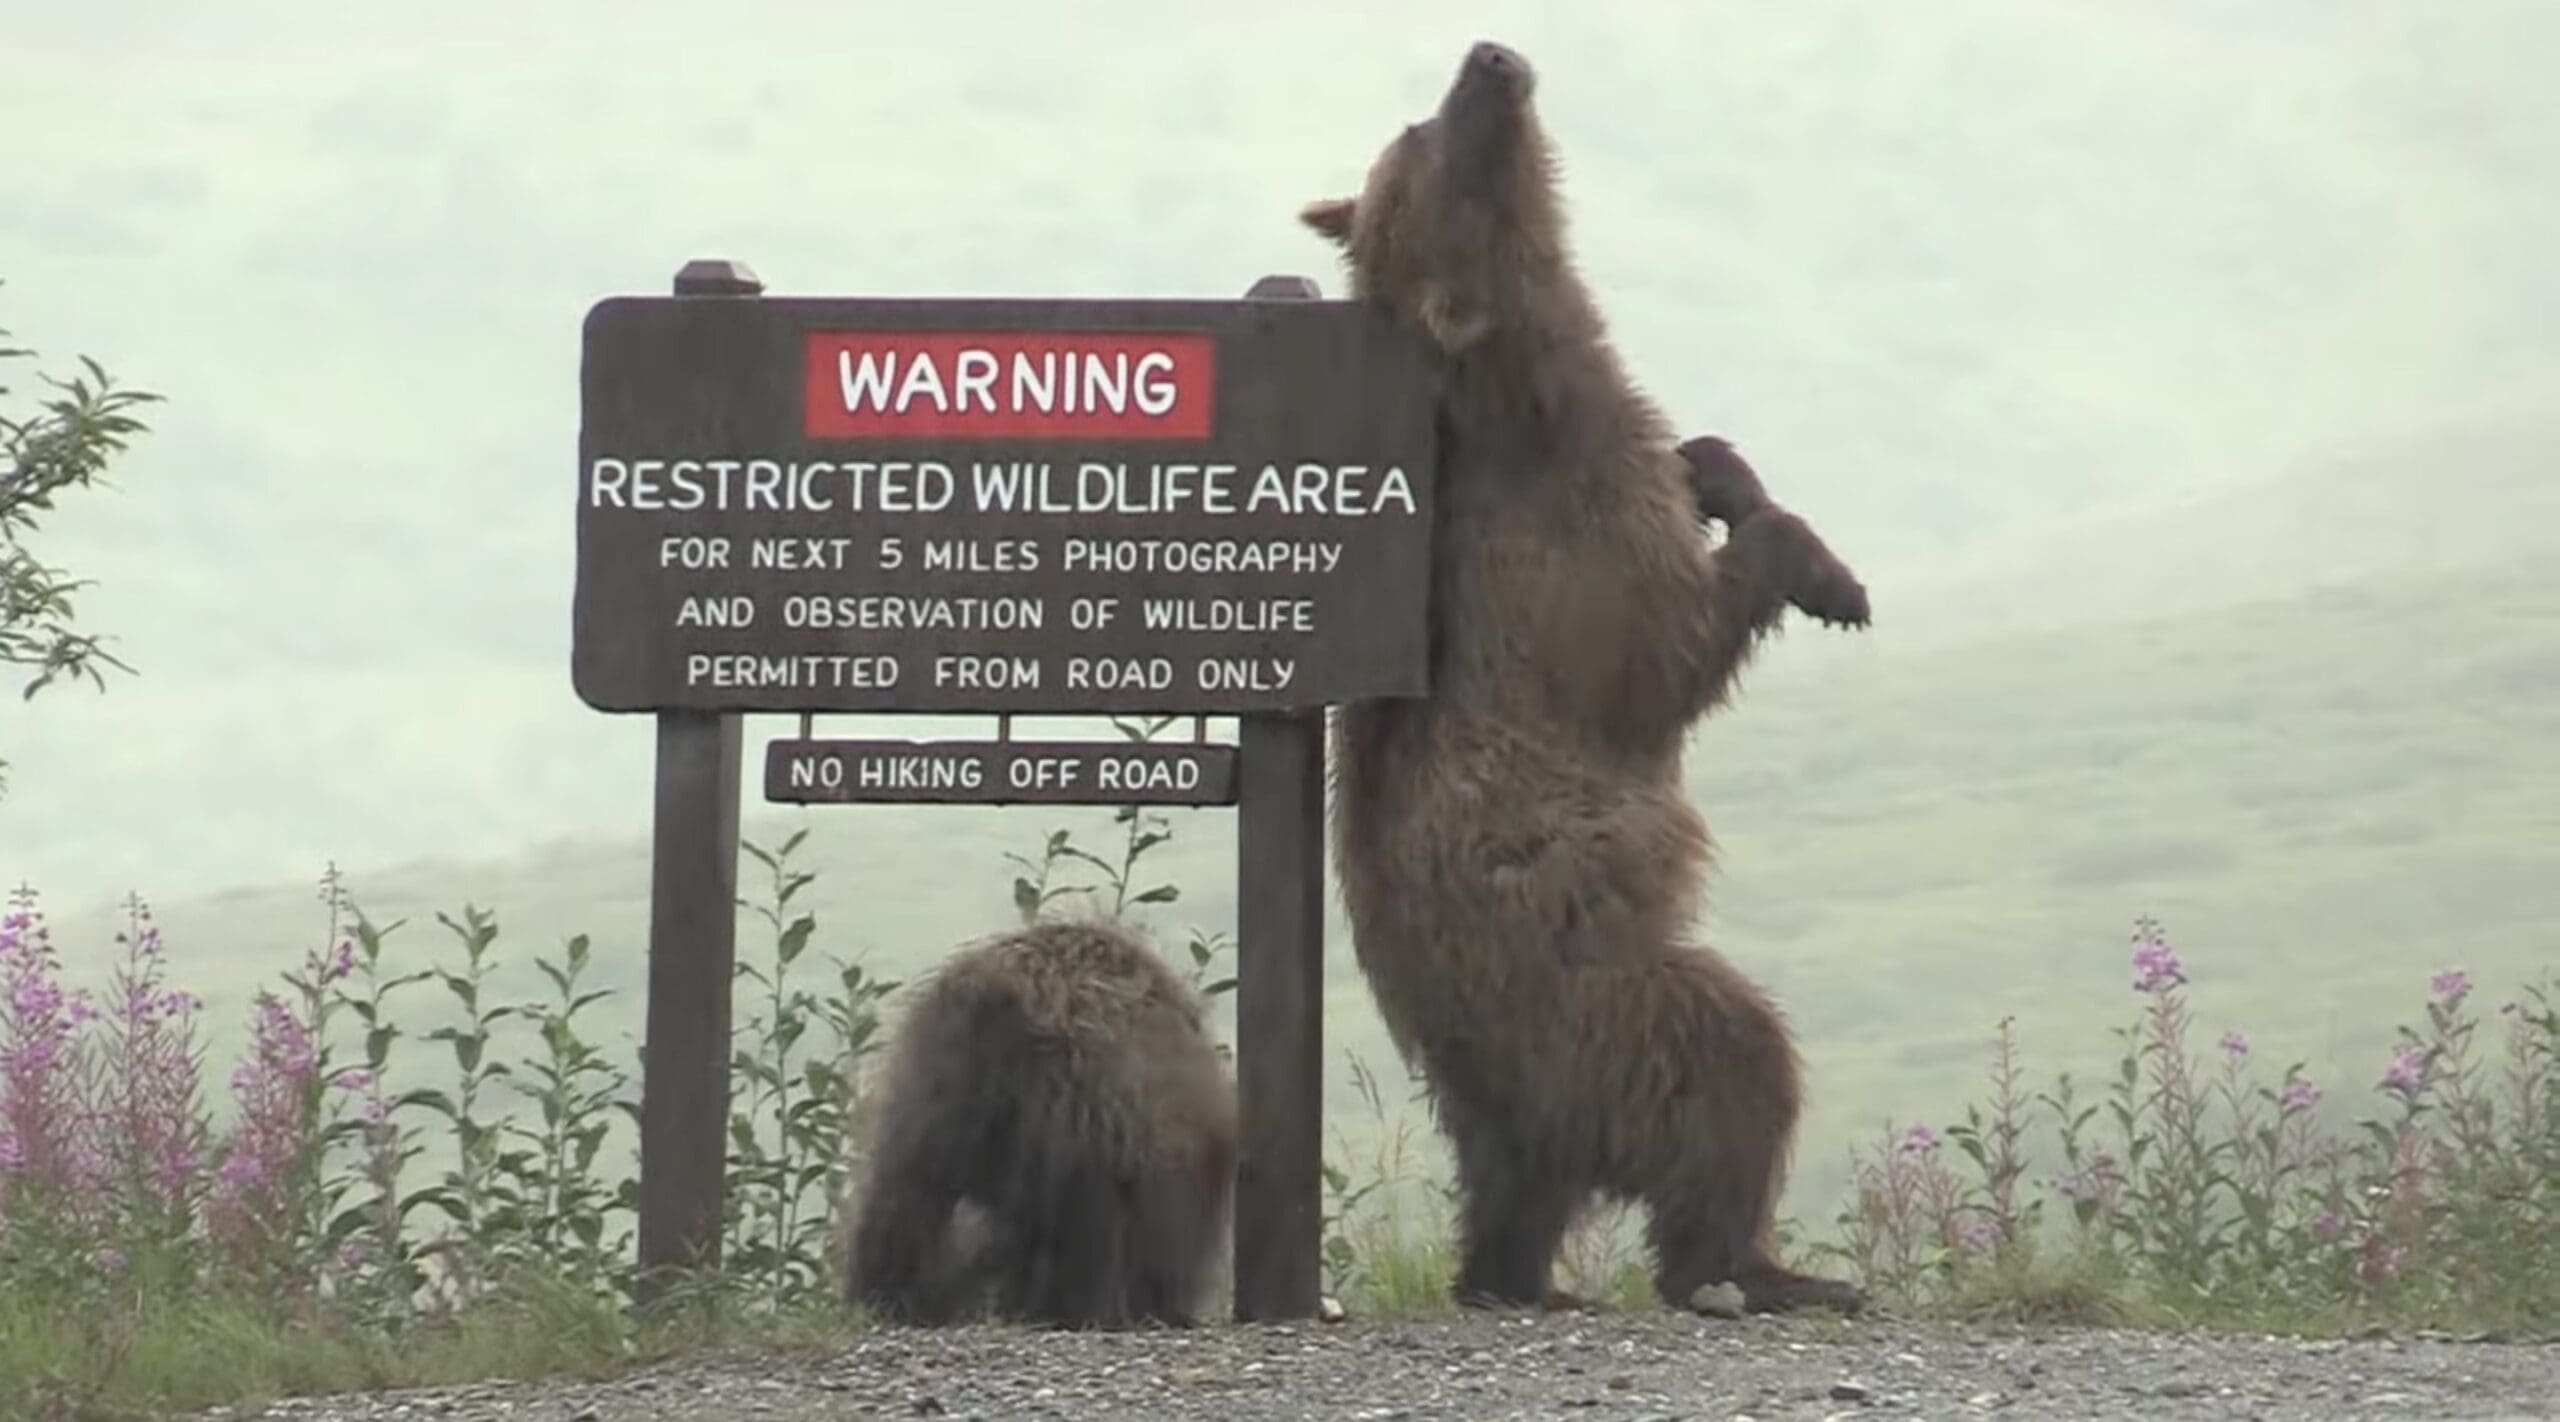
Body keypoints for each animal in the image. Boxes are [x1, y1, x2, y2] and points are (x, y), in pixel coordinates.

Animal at [1300, 40, 1870, 1317]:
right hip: (1600, 1007)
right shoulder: (1563, 560)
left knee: (1513, 1192)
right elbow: (1664, 648)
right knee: (1736, 1066)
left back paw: (1520, 1277)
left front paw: (1723, 472)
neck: (1521, 382)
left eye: (1411, 123)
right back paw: (1766, 1270)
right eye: (1437, 152)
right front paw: (1817, 572)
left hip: (1511, 1094)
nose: (1487, 60)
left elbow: (1698, 464)